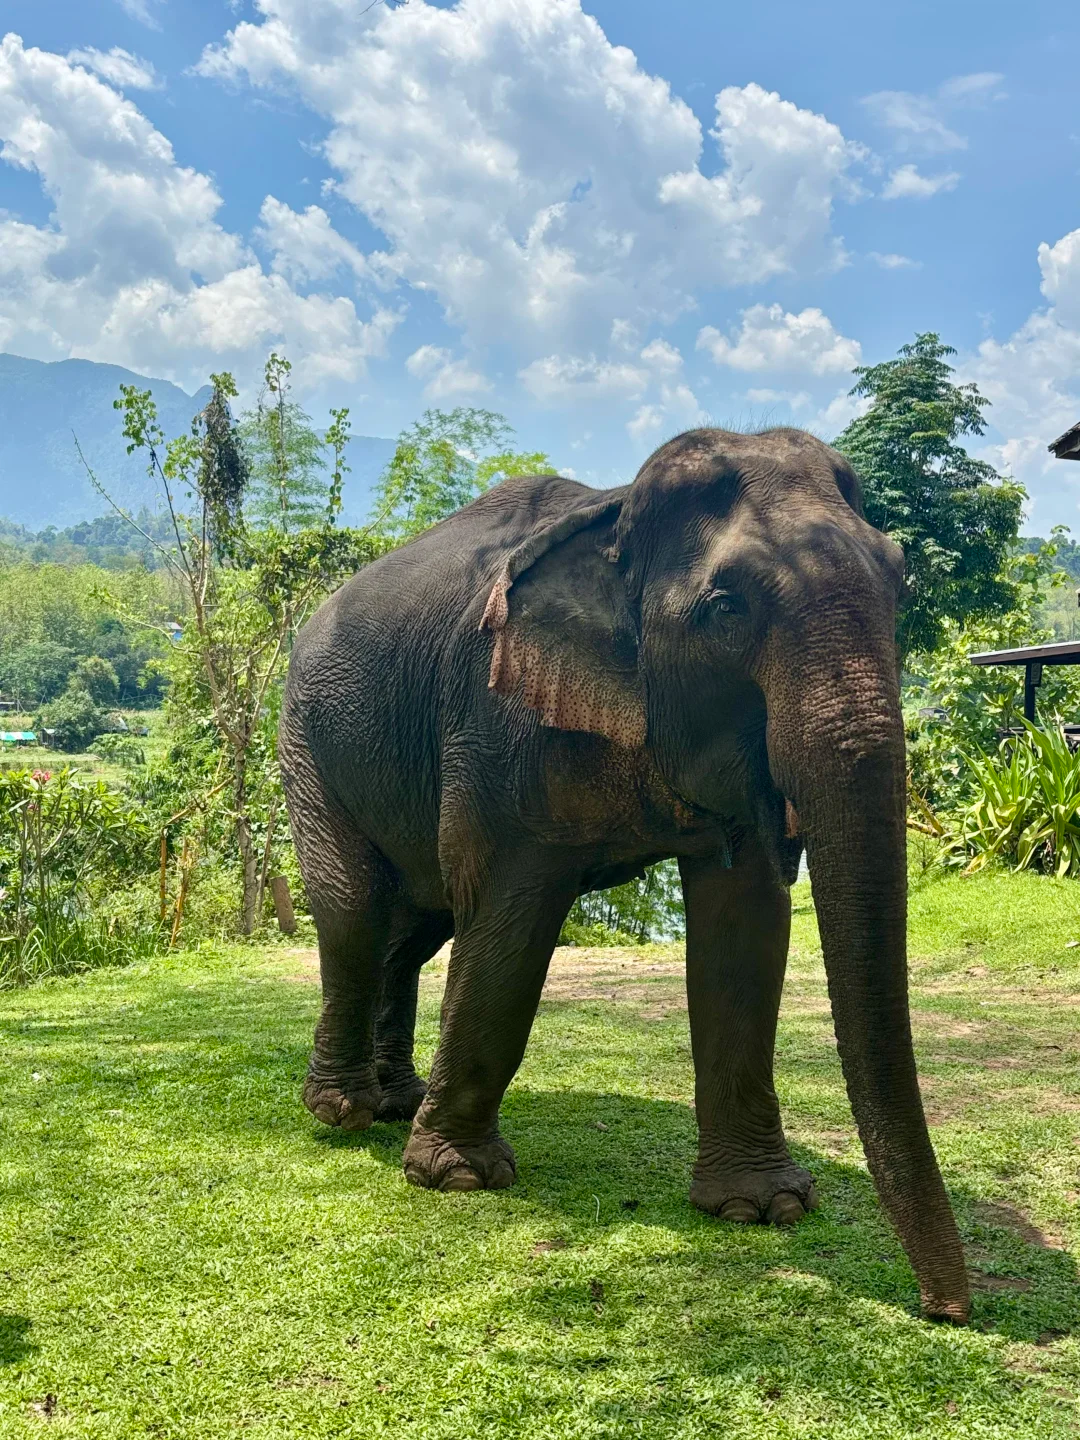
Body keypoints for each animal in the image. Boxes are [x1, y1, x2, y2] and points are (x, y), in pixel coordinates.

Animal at [279, 425, 970, 1324]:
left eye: (899, 582)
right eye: (725, 610)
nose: (944, 1309)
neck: (612, 518)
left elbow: (745, 925)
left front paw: (762, 1207)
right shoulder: (496, 722)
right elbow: (506, 919)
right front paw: (459, 1178)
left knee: (415, 927)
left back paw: (399, 1100)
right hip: (305, 738)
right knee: (356, 910)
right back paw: (344, 1112)